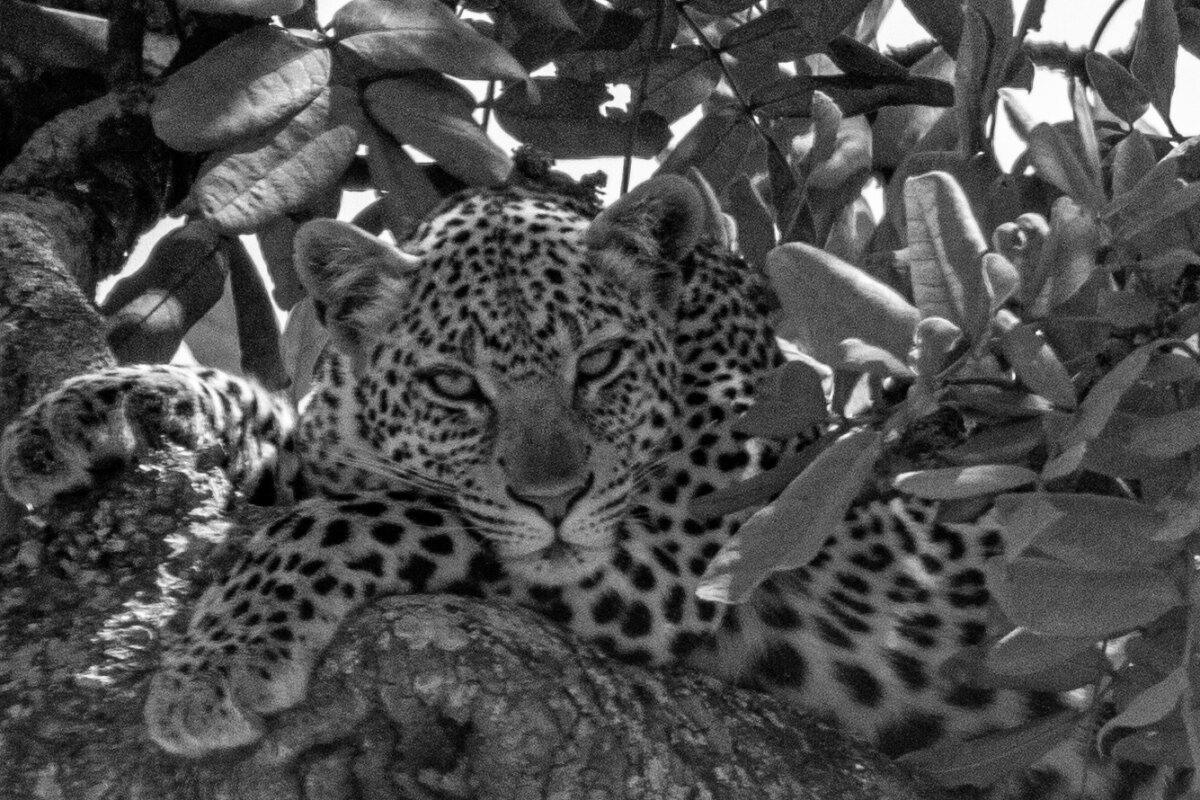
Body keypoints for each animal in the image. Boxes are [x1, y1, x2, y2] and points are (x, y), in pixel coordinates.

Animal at [0, 174, 1174, 798]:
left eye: (599, 364)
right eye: (454, 384)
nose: (554, 496)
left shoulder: (663, 567)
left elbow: (360, 516)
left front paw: (215, 665)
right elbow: (292, 437)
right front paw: (95, 408)